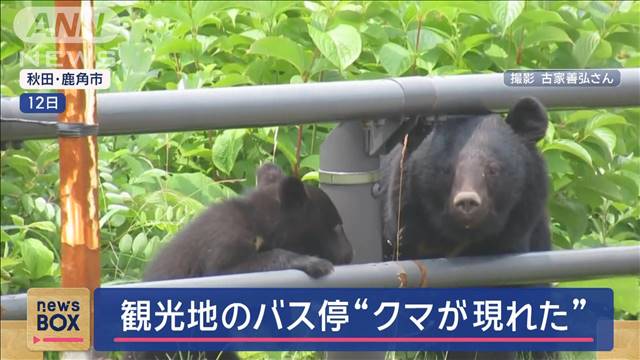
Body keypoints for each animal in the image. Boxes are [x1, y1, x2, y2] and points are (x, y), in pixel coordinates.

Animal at [127, 164, 352, 360]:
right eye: (336, 226)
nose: (350, 253)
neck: (259, 223)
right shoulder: (222, 241)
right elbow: (227, 271)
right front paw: (315, 263)